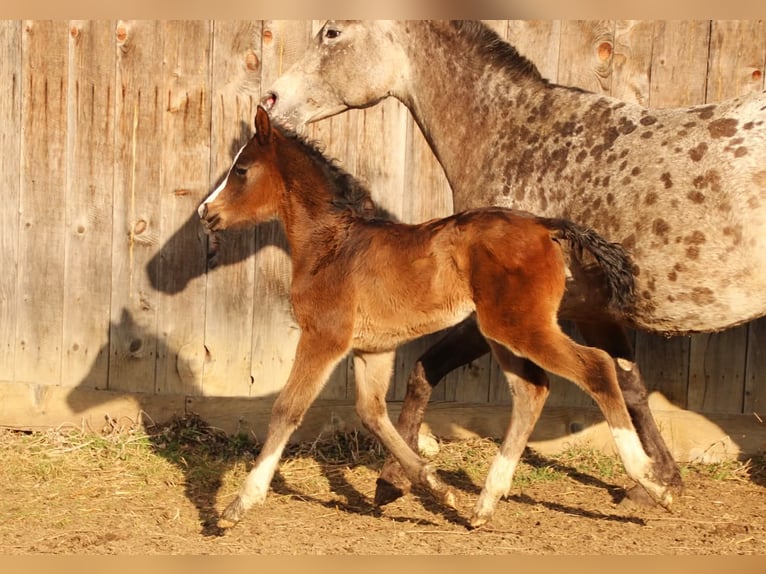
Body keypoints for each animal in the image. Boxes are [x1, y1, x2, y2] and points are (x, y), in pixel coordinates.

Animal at [198, 106, 670, 529]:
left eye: (241, 170)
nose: (206, 212)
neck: (331, 247)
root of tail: (546, 226)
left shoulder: (324, 337)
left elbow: (287, 409)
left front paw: (237, 506)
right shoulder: (374, 349)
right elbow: (372, 414)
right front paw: (432, 487)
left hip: (519, 326)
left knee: (597, 367)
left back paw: (652, 481)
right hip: (500, 332)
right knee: (532, 390)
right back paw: (484, 505)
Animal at [262, 20, 766, 506]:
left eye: (332, 32)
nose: (271, 99)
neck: (520, 137)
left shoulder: (499, 313)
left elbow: (425, 370)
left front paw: (394, 482)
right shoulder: (592, 314)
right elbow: (631, 386)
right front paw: (659, 482)